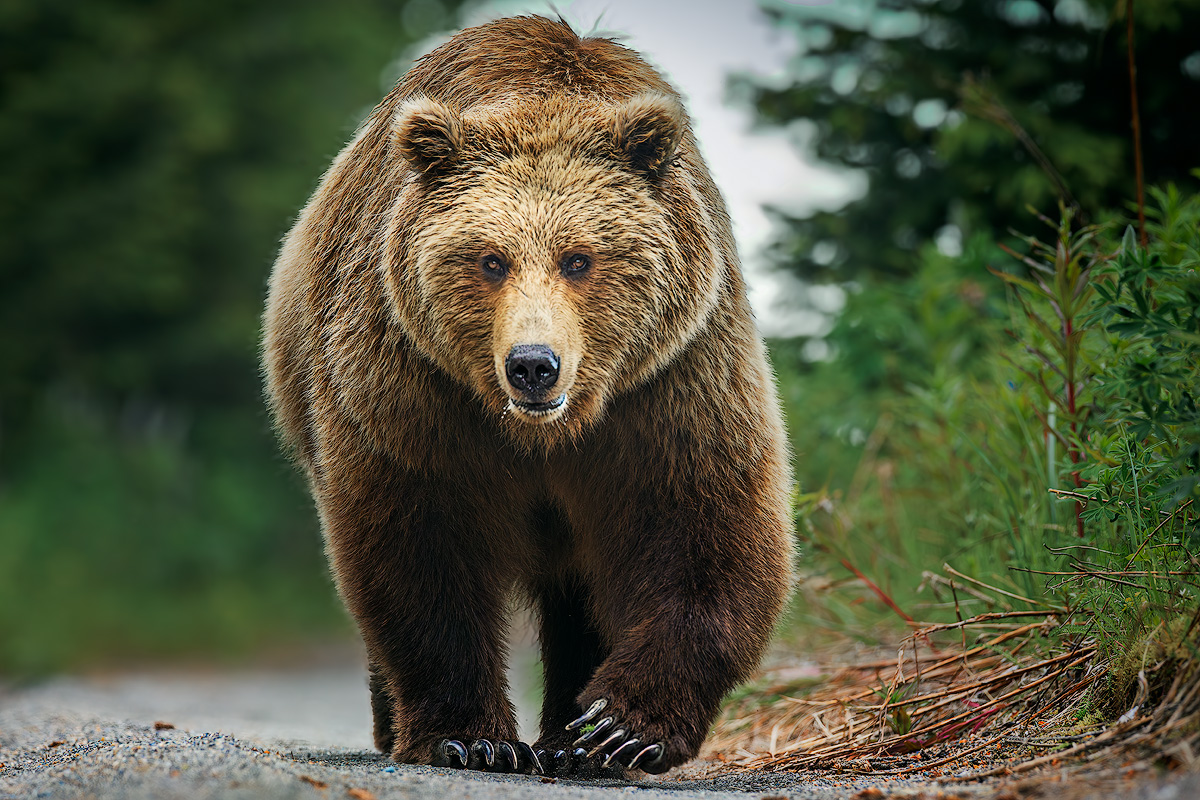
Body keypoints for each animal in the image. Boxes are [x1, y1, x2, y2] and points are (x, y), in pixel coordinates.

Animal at [262, 15, 794, 777]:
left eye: (579, 259)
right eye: (491, 259)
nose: (533, 366)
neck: (547, 431)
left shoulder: (669, 384)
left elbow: (701, 524)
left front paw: (620, 729)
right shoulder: (415, 390)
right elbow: (421, 540)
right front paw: (469, 736)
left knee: (584, 591)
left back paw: (570, 738)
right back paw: (397, 722)